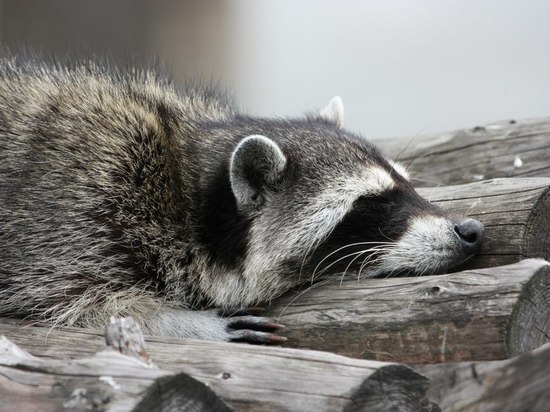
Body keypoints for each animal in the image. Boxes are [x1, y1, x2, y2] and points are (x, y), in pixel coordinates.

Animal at [0, 58, 484, 342]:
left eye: (408, 187)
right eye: (372, 203)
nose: (471, 230)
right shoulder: (78, 211)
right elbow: (75, 304)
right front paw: (175, 322)